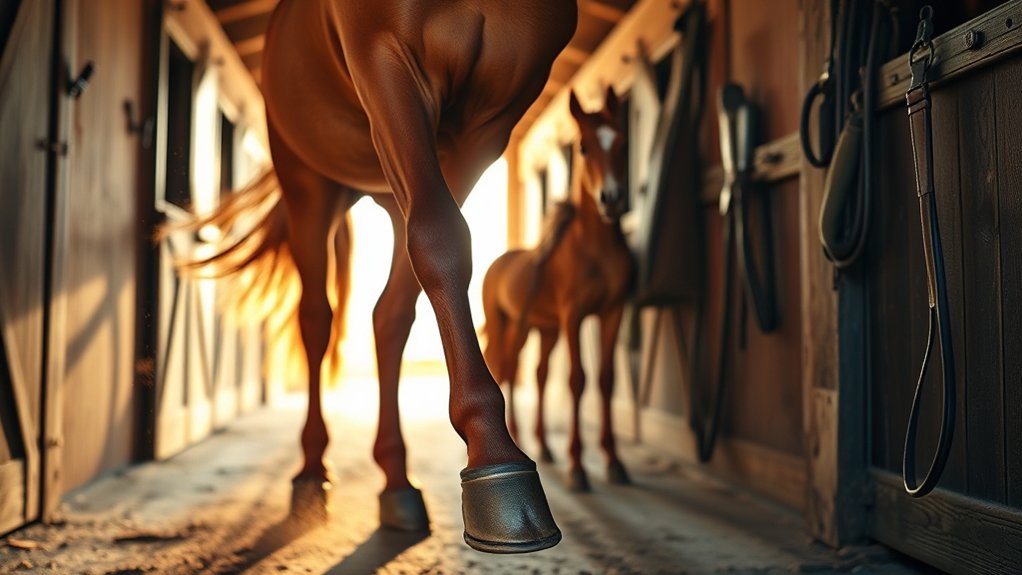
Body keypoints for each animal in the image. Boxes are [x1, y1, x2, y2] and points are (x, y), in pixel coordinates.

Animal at [165, 0, 578, 554]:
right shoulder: (384, 60)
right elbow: (441, 234)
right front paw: (497, 461)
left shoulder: (489, 122)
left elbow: (440, 243)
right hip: (307, 179)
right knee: (316, 319)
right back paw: (311, 475)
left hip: (386, 185)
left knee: (391, 314)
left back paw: (397, 483)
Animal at [481, 87, 633, 492]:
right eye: (583, 146)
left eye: (622, 142)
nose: (611, 198)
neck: (594, 249)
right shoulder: (573, 316)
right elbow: (577, 380)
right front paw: (577, 467)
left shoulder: (612, 313)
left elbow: (606, 380)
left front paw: (614, 462)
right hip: (508, 326)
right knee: (504, 368)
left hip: (542, 330)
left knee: (533, 373)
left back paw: (541, 445)